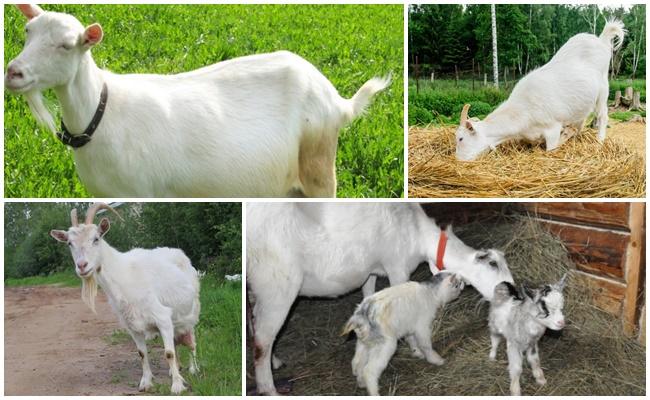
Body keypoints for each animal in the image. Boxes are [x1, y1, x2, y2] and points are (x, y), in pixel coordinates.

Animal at [6, 3, 390, 197]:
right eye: (27, 32)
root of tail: (336, 101)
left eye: (66, 45)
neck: (101, 112)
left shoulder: (141, 191)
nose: (14, 72)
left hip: (319, 166)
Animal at [50, 203, 199, 394]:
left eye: (96, 238)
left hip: (190, 313)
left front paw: (177, 386)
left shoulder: (163, 317)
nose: (82, 266)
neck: (124, 274)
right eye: (69, 243)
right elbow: (142, 354)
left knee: (191, 341)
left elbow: (168, 353)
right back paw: (175, 371)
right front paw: (146, 383)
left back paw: (193, 369)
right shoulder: (132, 326)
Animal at [246, 203, 512, 394]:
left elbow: (368, 293)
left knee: (255, 325)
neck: (417, 231)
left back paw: (275, 362)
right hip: (277, 286)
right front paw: (416, 349)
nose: (512, 289)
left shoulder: (371, 272)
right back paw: (269, 388)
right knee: (262, 341)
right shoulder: (397, 266)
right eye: (493, 264)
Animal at [454, 19, 624, 161]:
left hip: (603, 90)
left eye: (461, 138)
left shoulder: (552, 127)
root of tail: (601, 40)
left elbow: (552, 147)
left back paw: (599, 140)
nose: (458, 160)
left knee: (603, 116)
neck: (524, 109)